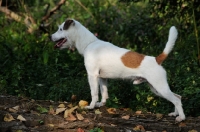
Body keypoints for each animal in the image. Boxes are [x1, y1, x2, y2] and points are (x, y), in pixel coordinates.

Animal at [50, 18, 185, 121]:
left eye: (60, 29)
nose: (51, 36)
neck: (89, 43)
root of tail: (157, 59)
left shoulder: (92, 75)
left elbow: (94, 93)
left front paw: (91, 106)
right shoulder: (102, 78)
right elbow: (104, 92)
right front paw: (101, 104)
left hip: (159, 87)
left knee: (176, 100)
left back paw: (181, 118)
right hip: (156, 89)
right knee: (178, 97)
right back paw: (175, 114)